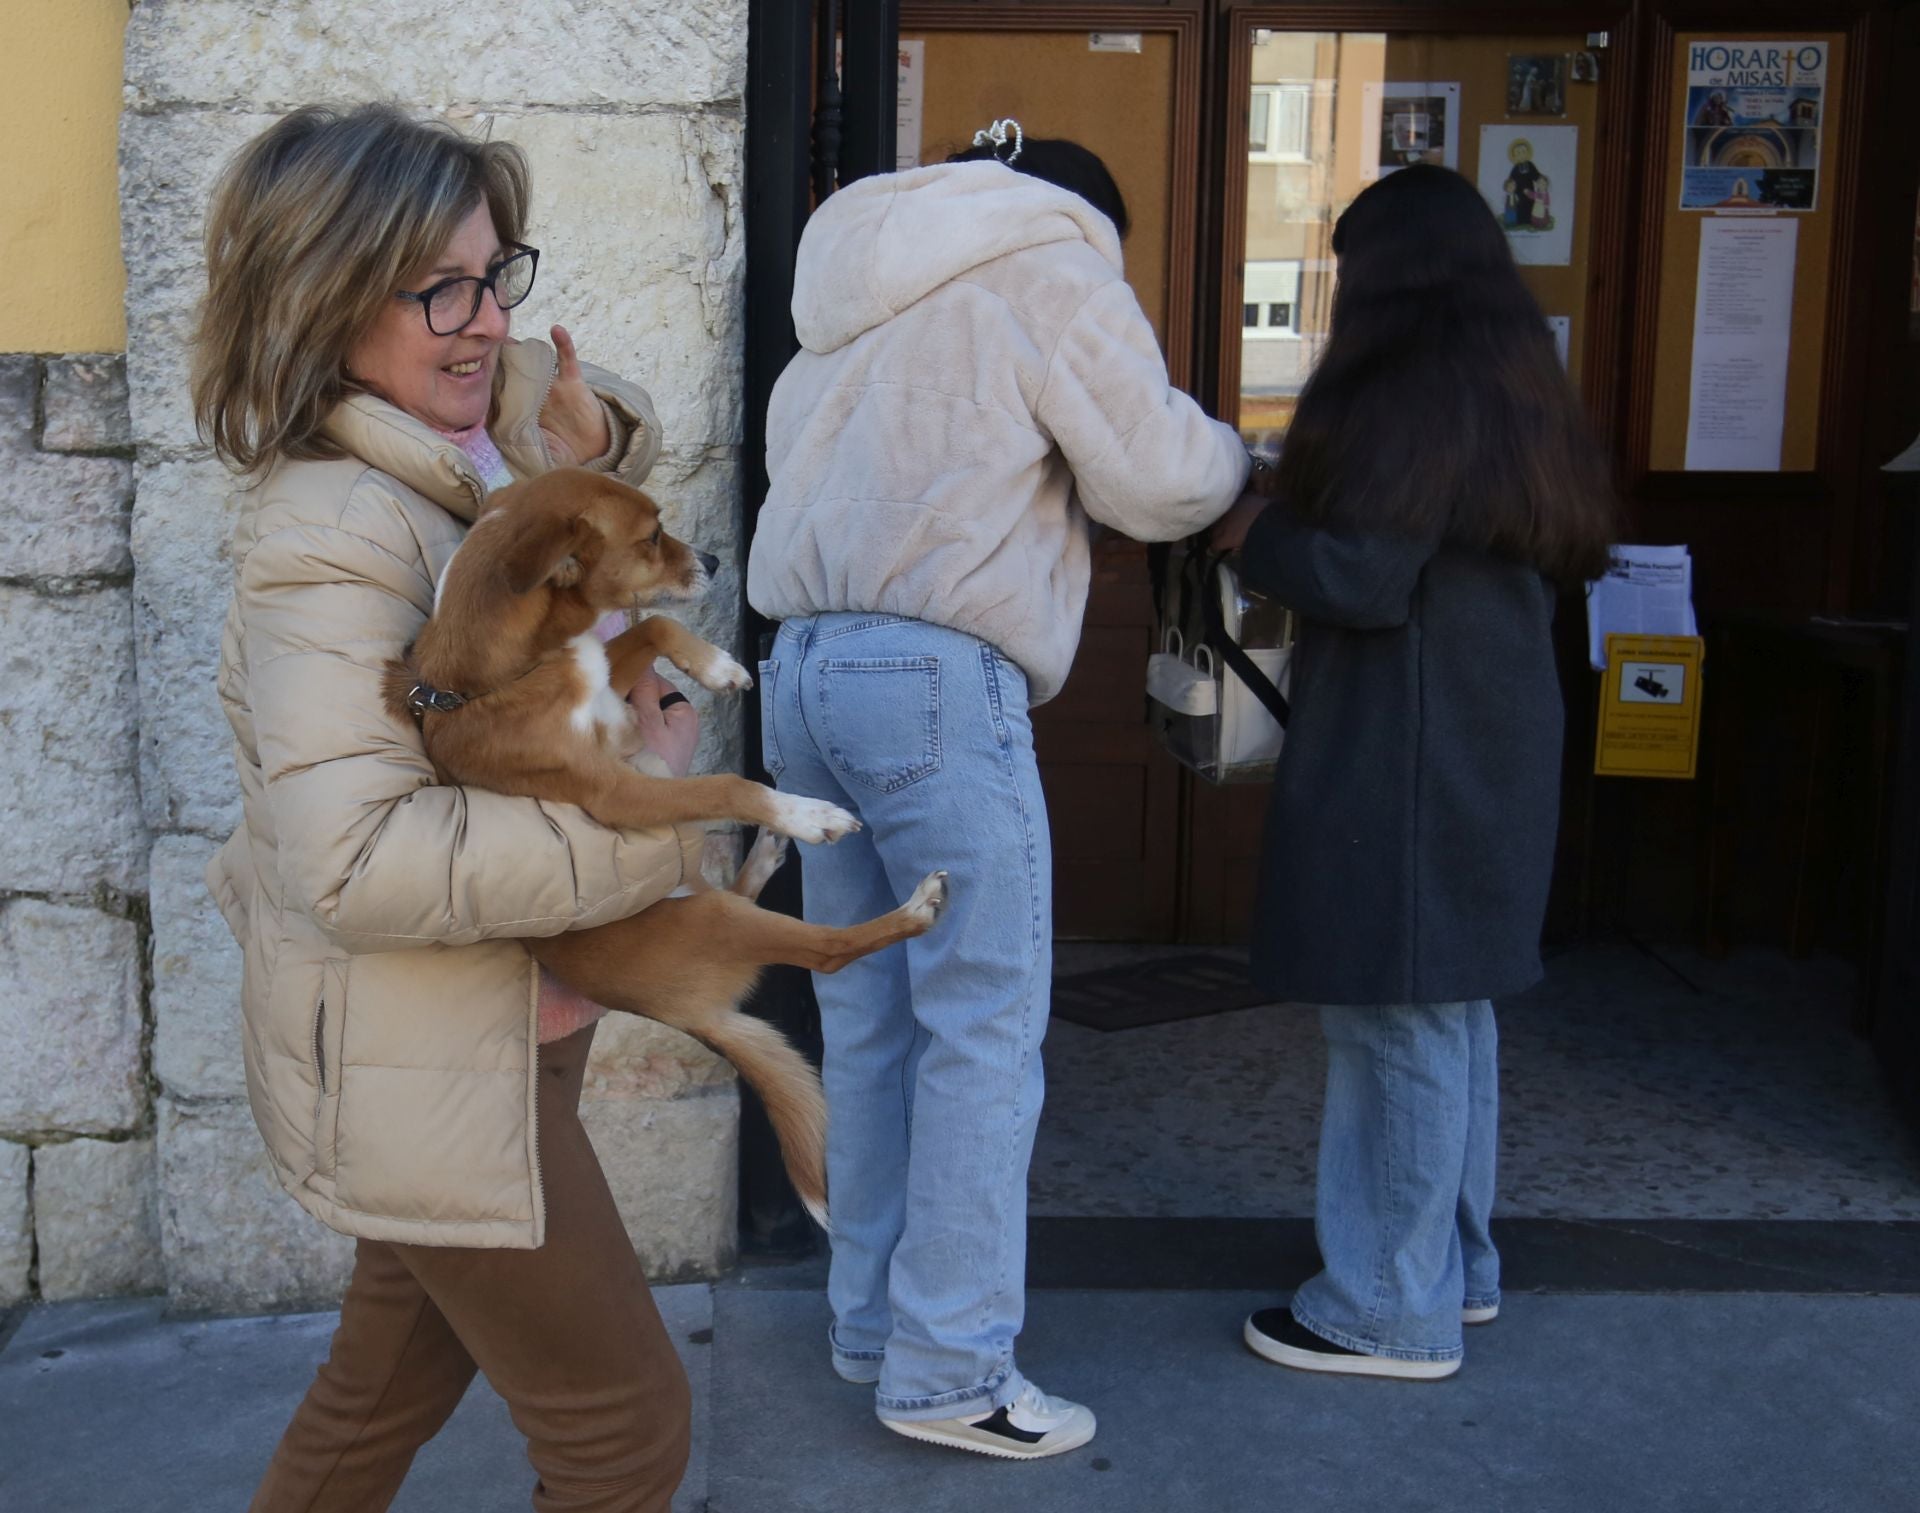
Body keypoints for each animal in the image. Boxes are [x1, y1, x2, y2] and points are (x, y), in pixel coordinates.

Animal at [382, 466, 944, 1221]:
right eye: (650, 538)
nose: (714, 562)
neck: (496, 675)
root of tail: (691, 1017)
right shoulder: (619, 794)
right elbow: (725, 784)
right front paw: (805, 812)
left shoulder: (609, 691)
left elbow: (652, 625)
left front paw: (719, 668)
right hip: (713, 920)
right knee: (826, 950)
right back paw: (903, 901)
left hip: (707, 898)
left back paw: (764, 853)